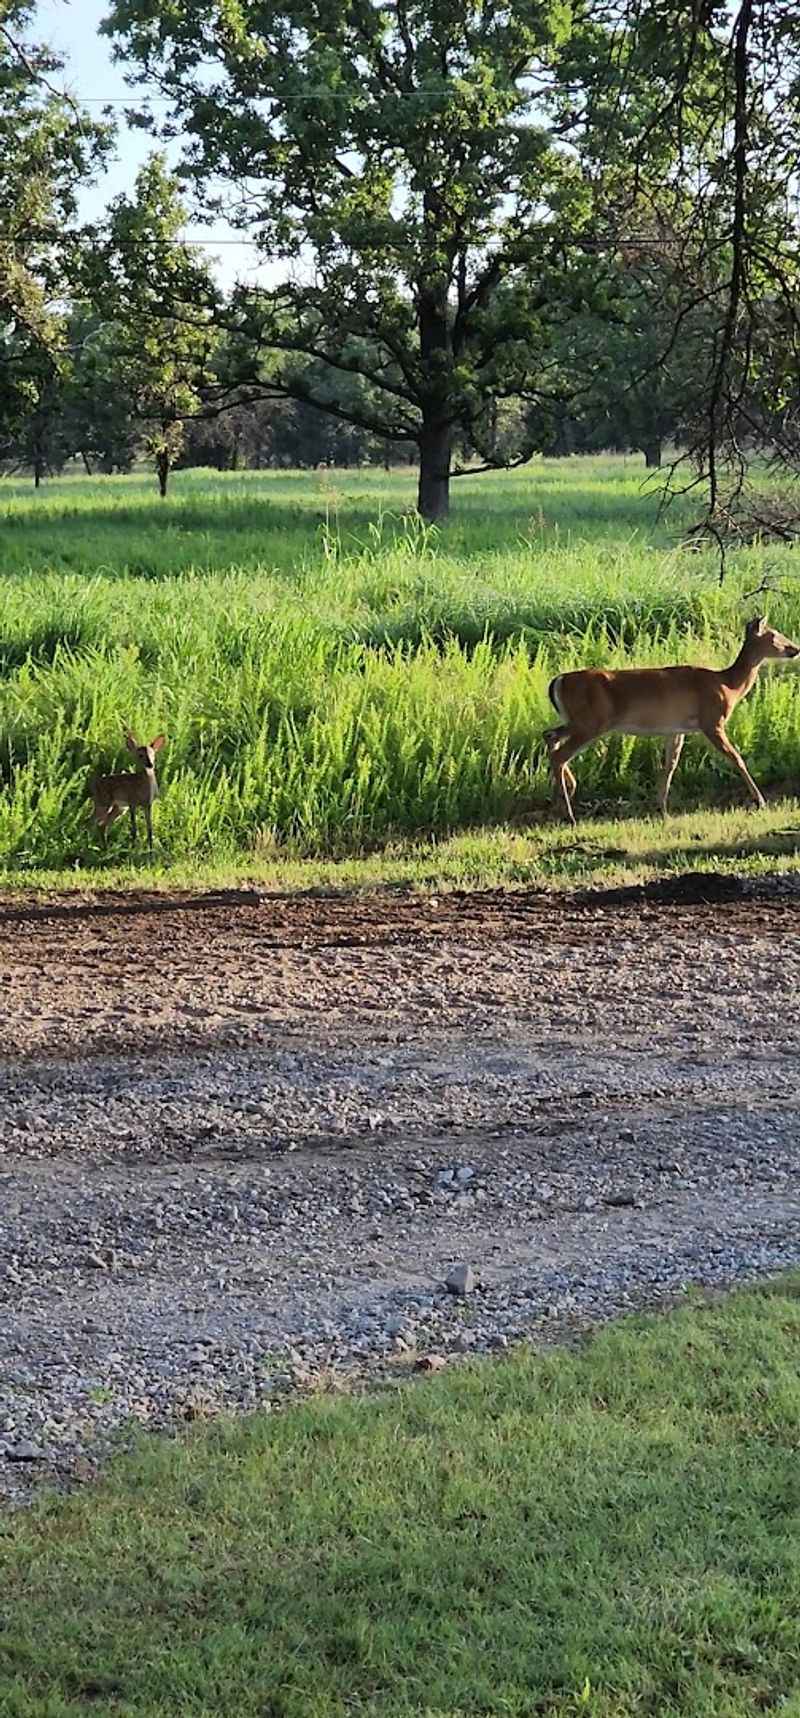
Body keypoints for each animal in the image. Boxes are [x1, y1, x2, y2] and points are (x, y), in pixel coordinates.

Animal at [544, 616, 799, 825]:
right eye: (774, 635)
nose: (795, 649)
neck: (728, 685)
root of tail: (558, 680)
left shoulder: (676, 729)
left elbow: (669, 766)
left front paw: (662, 809)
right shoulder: (712, 722)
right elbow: (737, 759)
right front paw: (760, 801)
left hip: (578, 721)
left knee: (550, 736)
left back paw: (564, 796)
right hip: (592, 722)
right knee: (559, 754)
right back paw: (569, 812)